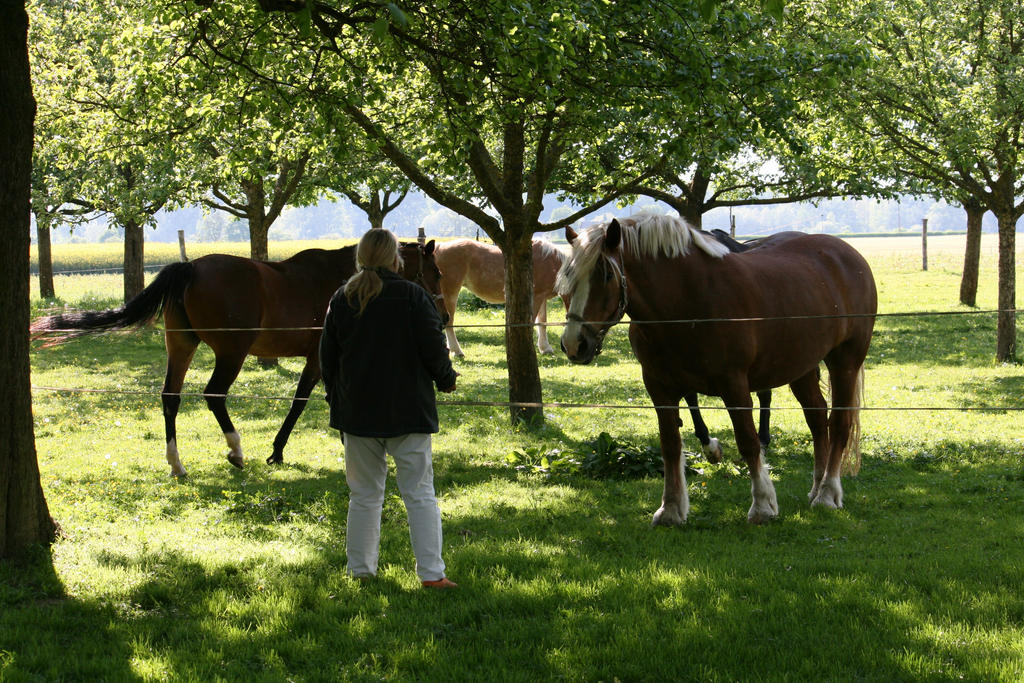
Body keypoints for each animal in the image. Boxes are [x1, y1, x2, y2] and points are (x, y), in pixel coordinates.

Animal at [28, 242, 442, 479]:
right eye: (436, 271)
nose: (441, 311)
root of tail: (191, 267)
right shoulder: (319, 359)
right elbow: (303, 403)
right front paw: (278, 451)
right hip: (231, 353)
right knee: (214, 395)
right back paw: (236, 451)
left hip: (182, 347)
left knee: (170, 397)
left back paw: (177, 464)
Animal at [432, 239, 569, 358]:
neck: (552, 263)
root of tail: (439, 247)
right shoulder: (537, 297)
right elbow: (532, 322)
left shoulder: (542, 297)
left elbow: (542, 322)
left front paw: (545, 348)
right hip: (450, 293)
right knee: (449, 322)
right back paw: (457, 351)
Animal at [557, 214, 876, 524]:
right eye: (568, 277)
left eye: (606, 275)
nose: (574, 344)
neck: (686, 302)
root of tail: (847, 254)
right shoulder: (659, 387)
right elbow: (670, 445)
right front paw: (671, 508)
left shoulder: (734, 384)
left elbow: (748, 441)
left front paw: (762, 505)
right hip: (801, 367)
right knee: (817, 419)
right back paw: (816, 487)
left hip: (845, 362)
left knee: (839, 424)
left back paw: (827, 493)